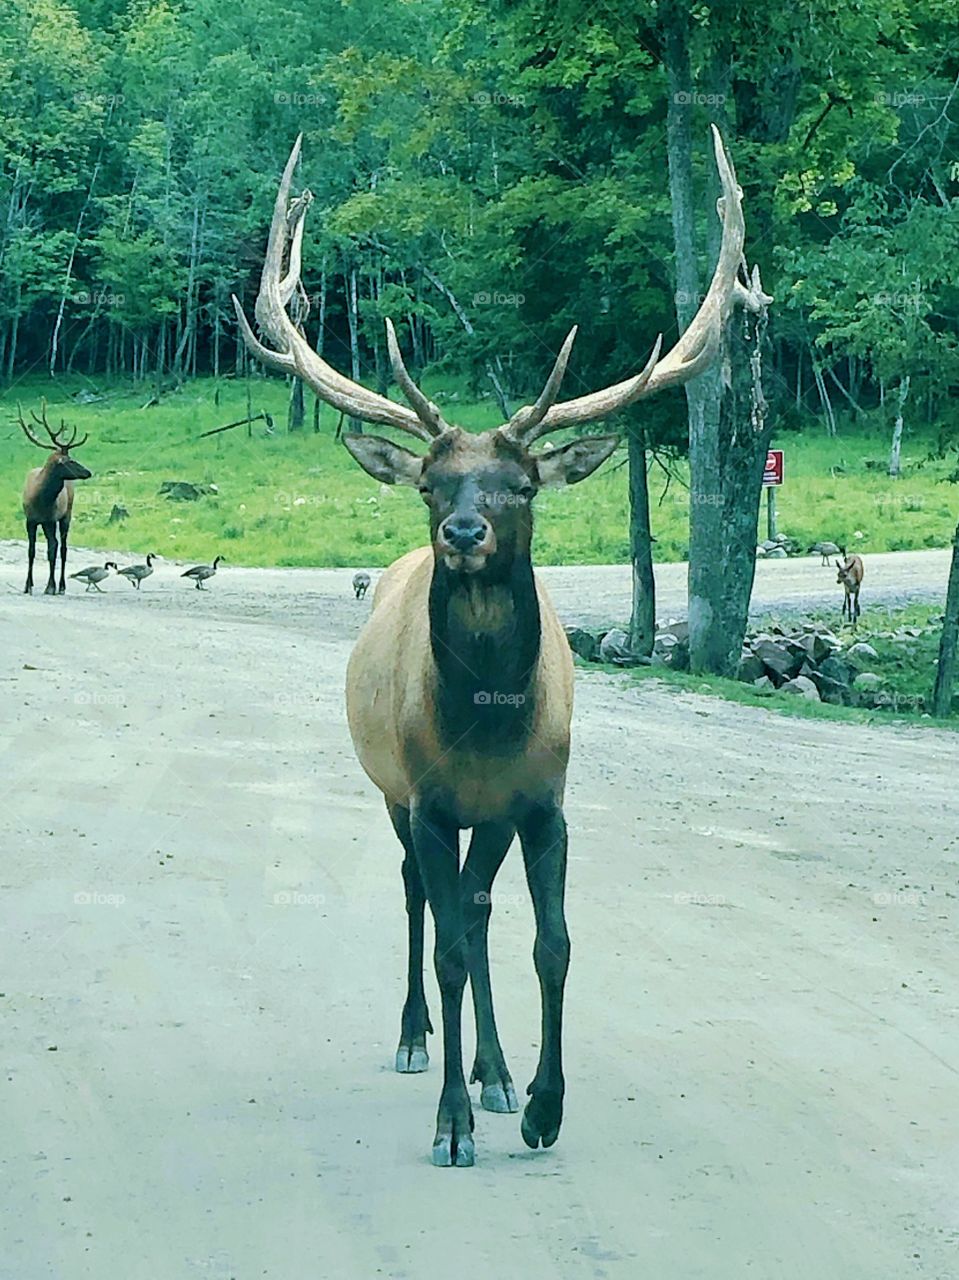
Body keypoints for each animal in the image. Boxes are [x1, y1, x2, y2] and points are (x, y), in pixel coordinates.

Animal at [17, 402, 92, 595]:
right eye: (69, 460)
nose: (88, 472)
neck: (41, 499)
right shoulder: (31, 520)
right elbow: (31, 551)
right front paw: (27, 585)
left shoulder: (50, 519)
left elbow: (52, 550)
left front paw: (50, 586)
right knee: (56, 546)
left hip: (66, 515)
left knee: (62, 547)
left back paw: (61, 586)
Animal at [233, 128, 768, 1168]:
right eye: (432, 483)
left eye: (519, 484)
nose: (464, 532)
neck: (486, 723)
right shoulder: (431, 800)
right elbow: (444, 942)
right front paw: (450, 1124)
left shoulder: (542, 801)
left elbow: (549, 943)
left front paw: (540, 1106)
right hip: (396, 795)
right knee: (421, 899)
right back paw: (418, 1042)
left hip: (488, 820)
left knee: (478, 910)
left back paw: (494, 1070)